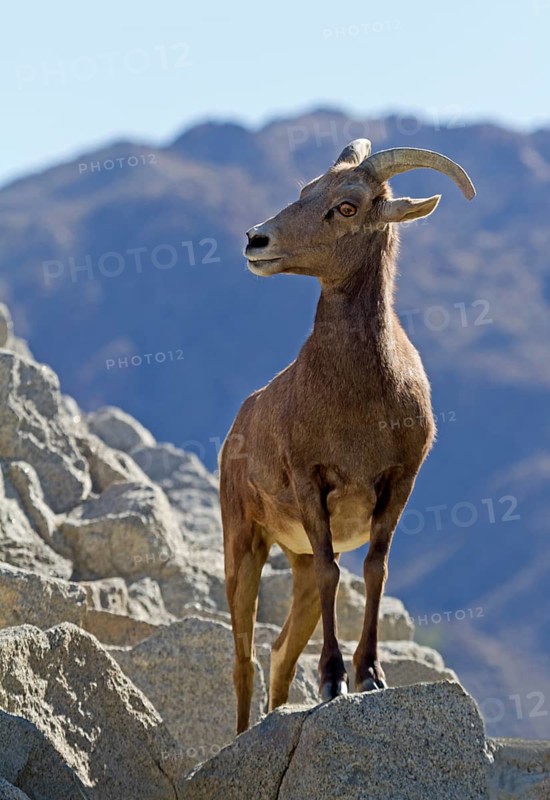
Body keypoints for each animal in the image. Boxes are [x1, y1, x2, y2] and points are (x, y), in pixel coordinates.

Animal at [220, 138, 475, 733]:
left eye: (347, 206)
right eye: (305, 190)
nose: (256, 240)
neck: (359, 403)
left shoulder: (398, 484)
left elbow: (374, 569)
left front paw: (369, 676)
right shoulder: (312, 484)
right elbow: (336, 572)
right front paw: (334, 680)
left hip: (292, 564)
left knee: (280, 653)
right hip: (243, 544)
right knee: (244, 659)